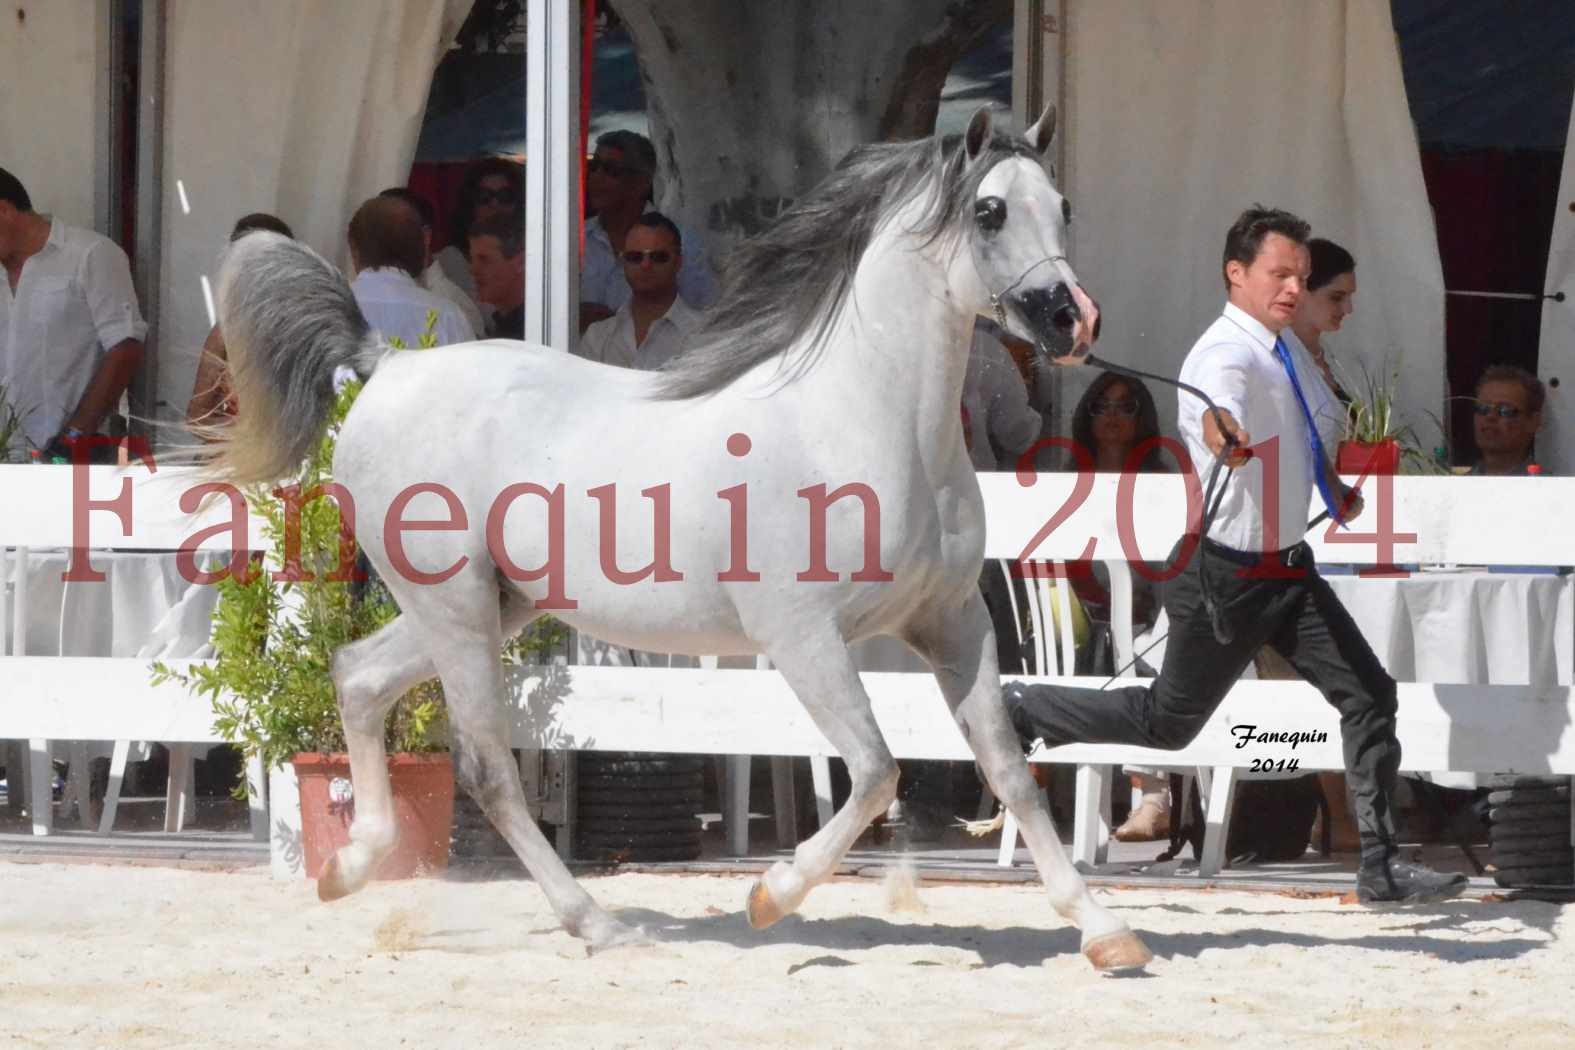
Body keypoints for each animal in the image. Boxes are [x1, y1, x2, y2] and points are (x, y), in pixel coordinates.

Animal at [206, 104, 1146, 969]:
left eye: (1061, 204)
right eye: (988, 210)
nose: (1072, 320)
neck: (867, 420)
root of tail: (387, 365)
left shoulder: (953, 624)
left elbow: (1010, 771)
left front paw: (1104, 931)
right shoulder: (803, 636)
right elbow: (879, 770)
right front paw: (771, 896)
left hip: (488, 607)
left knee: (357, 677)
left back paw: (348, 868)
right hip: (457, 608)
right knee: (483, 765)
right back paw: (596, 923)